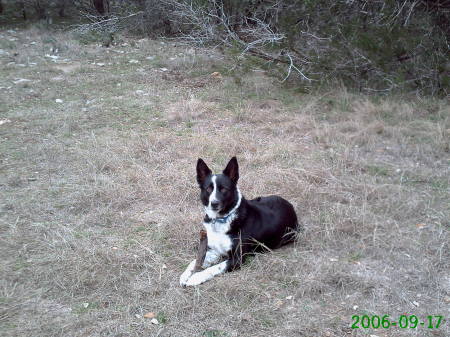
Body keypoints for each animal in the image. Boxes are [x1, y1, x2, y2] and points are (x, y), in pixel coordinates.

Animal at [179, 156, 298, 284]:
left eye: (224, 189)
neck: (222, 219)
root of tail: (289, 205)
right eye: (208, 189)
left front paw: (196, 277)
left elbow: (216, 267)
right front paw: (185, 274)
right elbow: (194, 261)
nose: (214, 203)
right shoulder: (215, 251)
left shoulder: (238, 258)